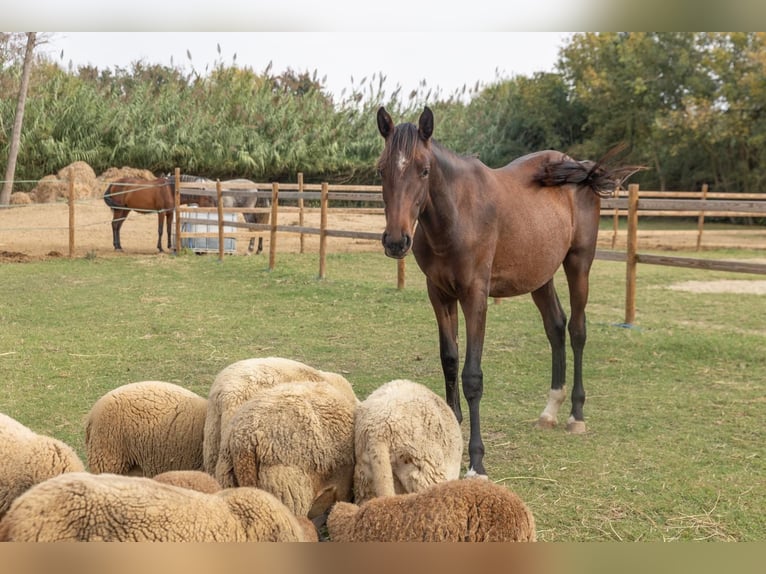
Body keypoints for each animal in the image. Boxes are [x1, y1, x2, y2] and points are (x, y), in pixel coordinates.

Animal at [376, 106, 639, 477]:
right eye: (381, 169)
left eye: (424, 170)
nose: (396, 241)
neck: (456, 213)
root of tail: (577, 167)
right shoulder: (439, 294)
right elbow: (449, 360)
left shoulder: (475, 296)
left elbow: (472, 376)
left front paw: (476, 462)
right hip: (540, 276)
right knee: (555, 327)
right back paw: (550, 410)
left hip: (579, 263)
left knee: (577, 330)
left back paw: (575, 414)